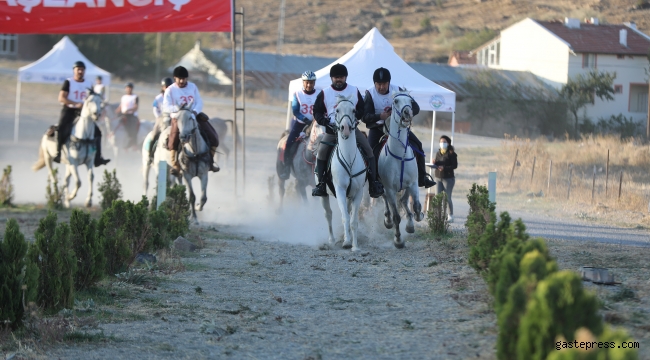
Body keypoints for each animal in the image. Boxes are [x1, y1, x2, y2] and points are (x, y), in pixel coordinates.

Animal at [322, 95, 368, 253]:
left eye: (354, 110)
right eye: (337, 110)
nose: (346, 129)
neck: (348, 158)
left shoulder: (358, 192)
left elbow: (353, 220)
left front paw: (355, 246)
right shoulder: (340, 190)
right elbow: (345, 217)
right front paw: (347, 242)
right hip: (324, 194)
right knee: (328, 214)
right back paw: (331, 240)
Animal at [378, 89, 422, 248]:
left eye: (411, 101)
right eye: (396, 101)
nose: (408, 113)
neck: (400, 156)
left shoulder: (413, 183)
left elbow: (416, 206)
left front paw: (413, 221)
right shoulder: (390, 188)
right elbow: (396, 216)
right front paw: (398, 240)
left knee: (403, 200)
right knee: (386, 200)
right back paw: (388, 220)